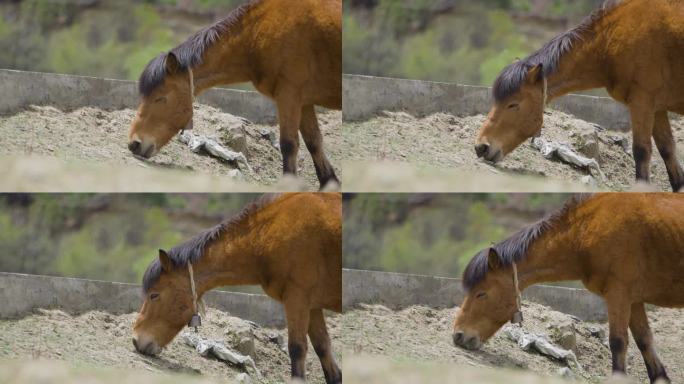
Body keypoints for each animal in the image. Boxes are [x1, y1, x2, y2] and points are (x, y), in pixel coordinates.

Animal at [127, 0, 340, 189]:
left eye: (160, 98)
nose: (134, 144)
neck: (258, 32)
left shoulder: (289, 96)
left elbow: (288, 145)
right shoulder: (303, 102)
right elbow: (314, 142)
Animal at [131, 194, 342, 382]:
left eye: (154, 295)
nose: (136, 339)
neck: (269, 237)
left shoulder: (297, 300)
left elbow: (297, 349)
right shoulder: (312, 306)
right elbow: (324, 350)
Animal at [454, 195, 684, 384]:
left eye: (481, 293)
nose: (458, 335)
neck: (587, 232)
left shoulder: (619, 295)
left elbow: (618, 343)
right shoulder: (633, 300)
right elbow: (645, 343)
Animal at [476, 0, 684, 191]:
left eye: (513, 104)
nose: (481, 146)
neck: (612, 41)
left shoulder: (642, 102)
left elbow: (641, 152)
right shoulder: (657, 109)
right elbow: (669, 153)